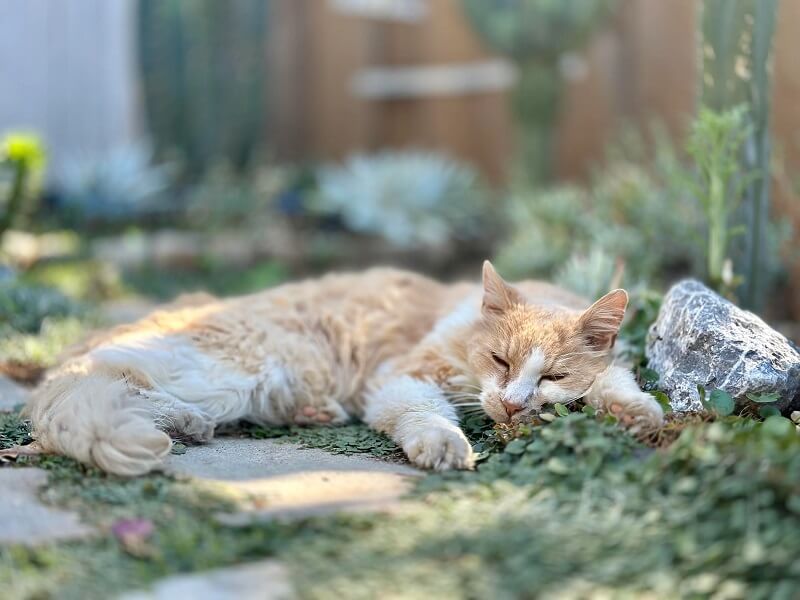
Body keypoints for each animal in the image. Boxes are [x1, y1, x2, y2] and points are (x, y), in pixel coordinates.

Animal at [23, 260, 664, 476]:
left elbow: (618, 382)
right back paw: (184, 422)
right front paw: (444, 446)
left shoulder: (609, 367)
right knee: (103, 381)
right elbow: (425, 416)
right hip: (235, 365)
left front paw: (640, 416)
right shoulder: (402, 378)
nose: (510, 404)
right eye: (500, 359)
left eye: (552, 375)